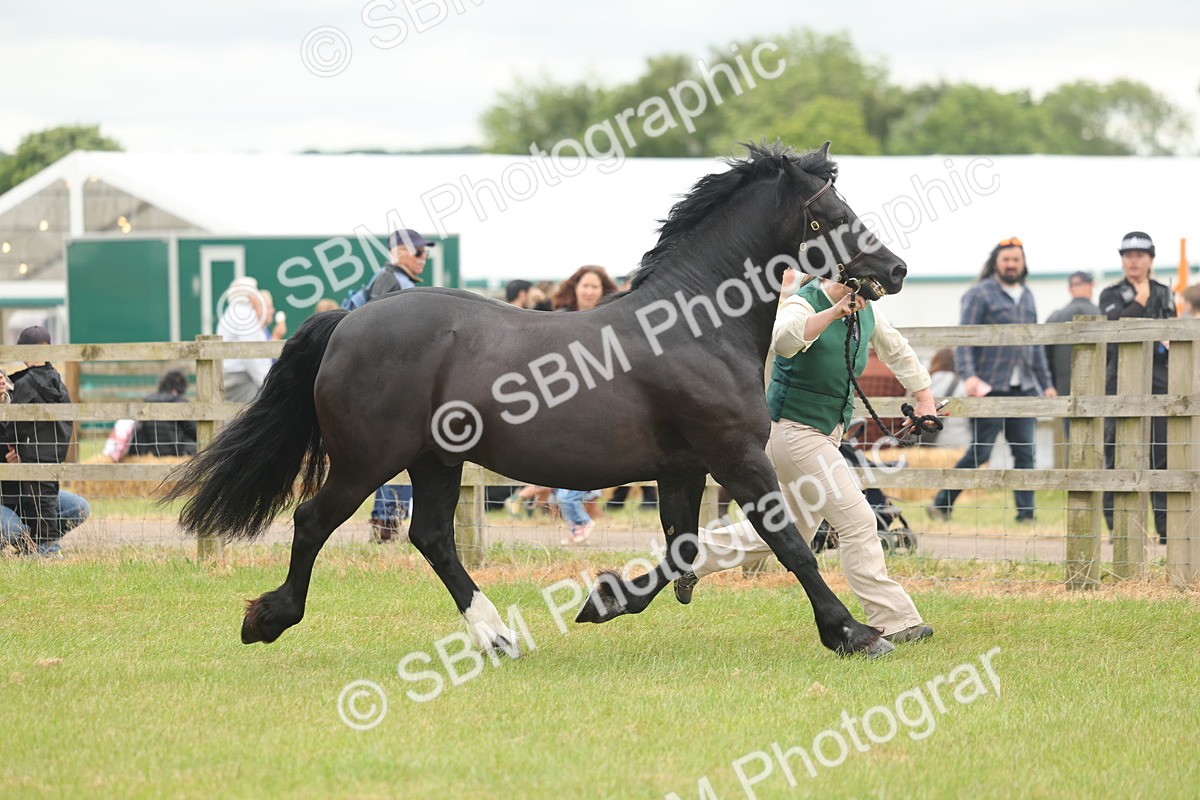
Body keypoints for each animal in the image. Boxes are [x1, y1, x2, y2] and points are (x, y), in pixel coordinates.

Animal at [165, 142, 907, 658]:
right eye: (830, 216)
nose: (895, 270)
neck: (694, 327)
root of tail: (347, 322)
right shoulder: (738, 458)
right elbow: (792, 546)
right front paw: (853, 632)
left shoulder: (682, 468)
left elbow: (684, 551)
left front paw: (603, 600)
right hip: (368, 461)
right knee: (314, 521)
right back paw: (268, 618)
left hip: (436, 459)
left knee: (432, 536)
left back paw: (496, 636)